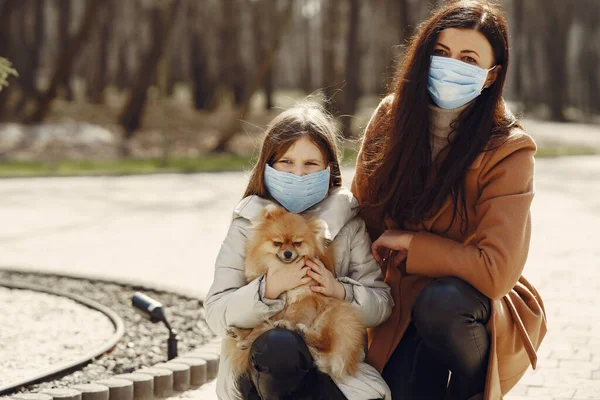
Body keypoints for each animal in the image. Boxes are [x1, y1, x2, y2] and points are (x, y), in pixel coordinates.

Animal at [224, 205, 364, 380]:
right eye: (277, 243)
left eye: (297, 243)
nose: (288, 253)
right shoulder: (274, 303)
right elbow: (259, 324)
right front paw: (247, 337)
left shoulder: (304, 299)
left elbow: (293, 315)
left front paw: (286, 323)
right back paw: (239, 333)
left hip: (334, 315)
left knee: (325, 341)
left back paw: (301, 331)